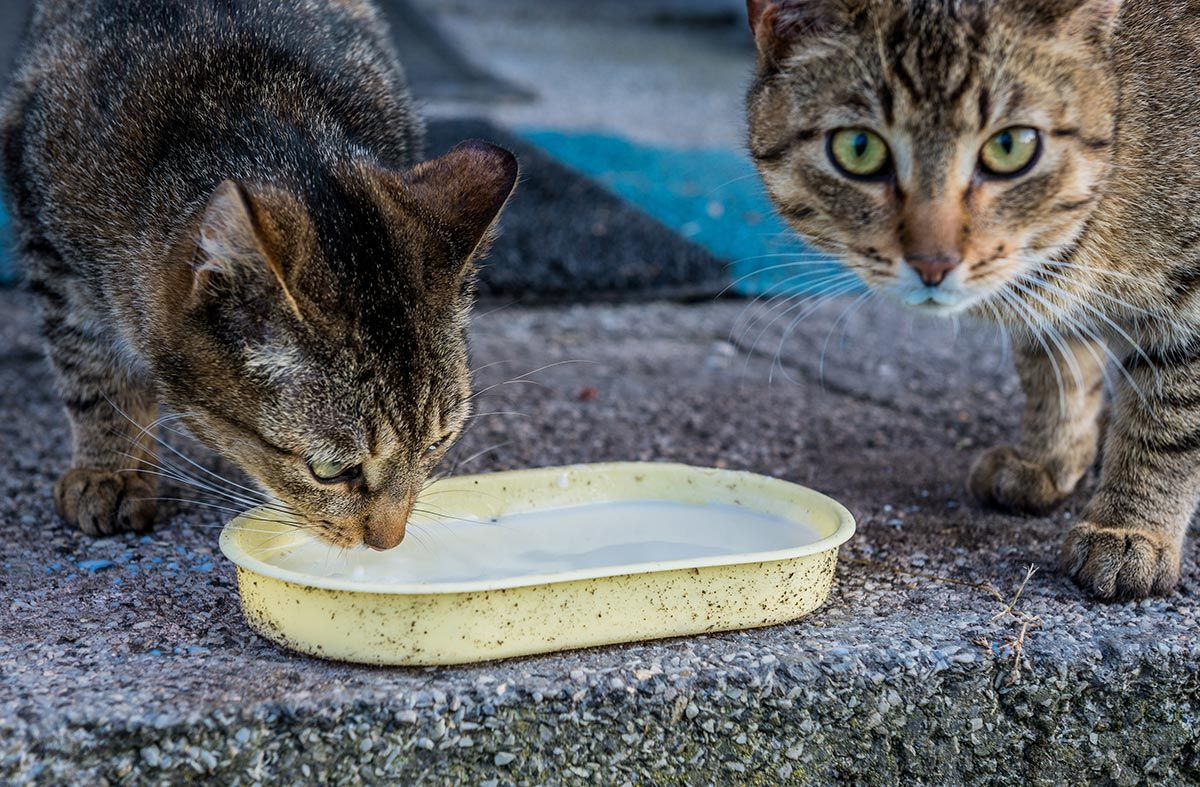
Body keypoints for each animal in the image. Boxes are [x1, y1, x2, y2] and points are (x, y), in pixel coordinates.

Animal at [0, 0, 516, 549]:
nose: (388, 542)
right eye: (329, 470)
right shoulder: (49, 249)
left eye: (437, 443)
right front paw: (111, 471)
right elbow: (92, 371)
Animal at [744, 0, 1200, 599]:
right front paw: (1050, 456)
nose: (933, 263)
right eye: (858, 148)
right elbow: (1055, 366)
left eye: (1011, 146)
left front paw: (1130, 527)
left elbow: (1168, 417)